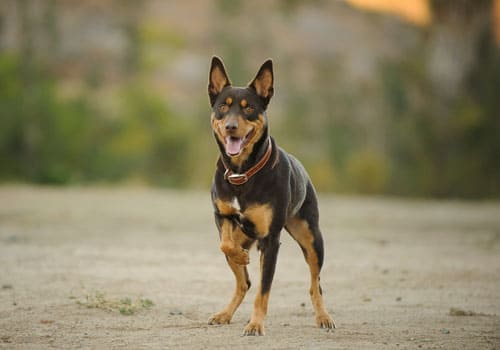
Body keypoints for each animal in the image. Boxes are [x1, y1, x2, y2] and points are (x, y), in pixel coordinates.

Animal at [207, 56, 336, 334]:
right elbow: (226, 244)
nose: (231, 127)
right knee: (243, 282)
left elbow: (264, 291)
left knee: (316, 284)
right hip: (246, 237)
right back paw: (225, 313)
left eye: (248, 109)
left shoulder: (270, 241)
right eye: (223, 106)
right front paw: (241, 255)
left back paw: (324, 317)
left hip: (312, 238)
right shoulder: (221, 216)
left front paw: (255, 324)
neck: (242, 172)